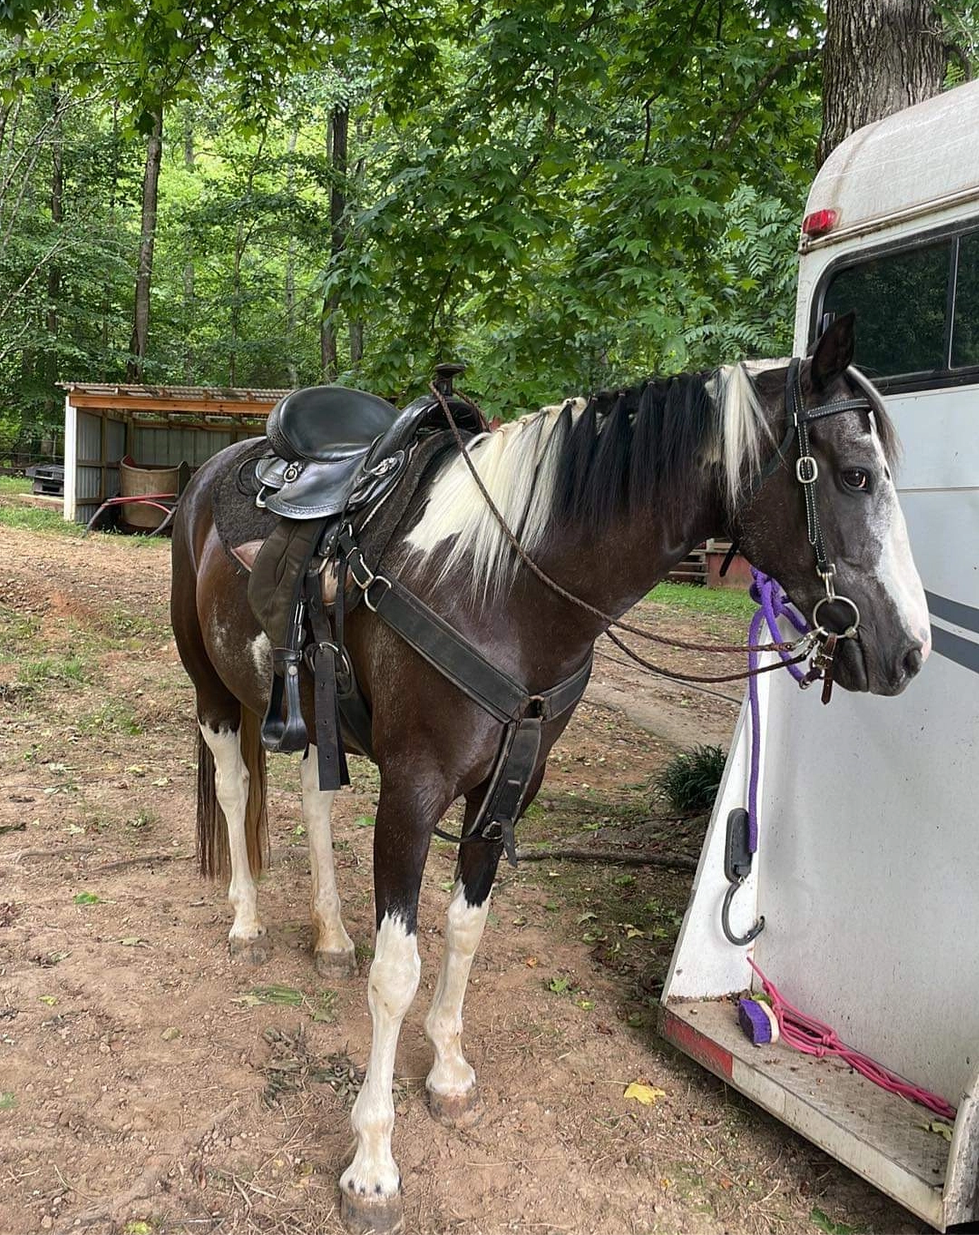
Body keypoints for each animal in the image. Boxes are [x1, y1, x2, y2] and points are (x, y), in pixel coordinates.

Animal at [170, 313, 930, 1235]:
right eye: (854, 475)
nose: (907, 651)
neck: (499, 588)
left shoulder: (507, 791)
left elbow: (464, 931)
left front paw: (448, 1072)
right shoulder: (412, 793)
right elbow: (398, 971)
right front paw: (372, 1164)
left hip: (314, 720)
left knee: (314, 805)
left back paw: (328, 937)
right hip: (211, 689)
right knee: (235, 788)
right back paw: (246, 923)